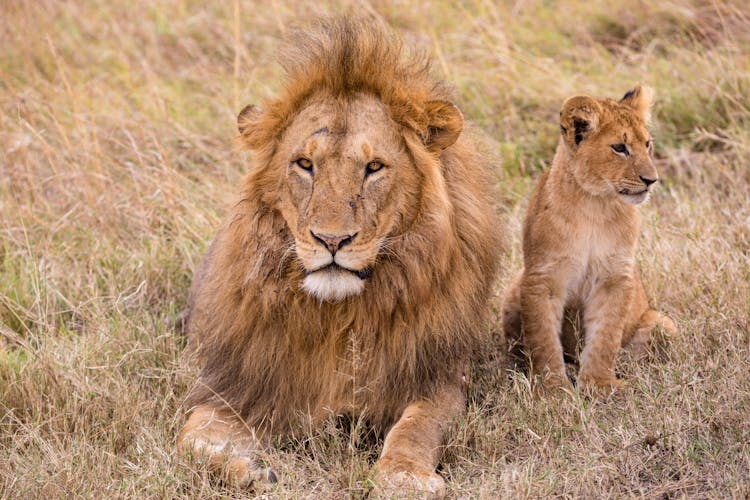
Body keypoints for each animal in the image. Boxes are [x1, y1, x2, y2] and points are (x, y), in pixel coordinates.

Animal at [178, 17, 506, 494]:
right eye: (304, 164)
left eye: (374, 168)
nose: (332, 240)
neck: (339, 318)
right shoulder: (239, 385)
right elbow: (189, 442)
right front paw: (251, 470)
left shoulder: (438, 377)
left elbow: (416, 426)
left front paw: (403, 477)